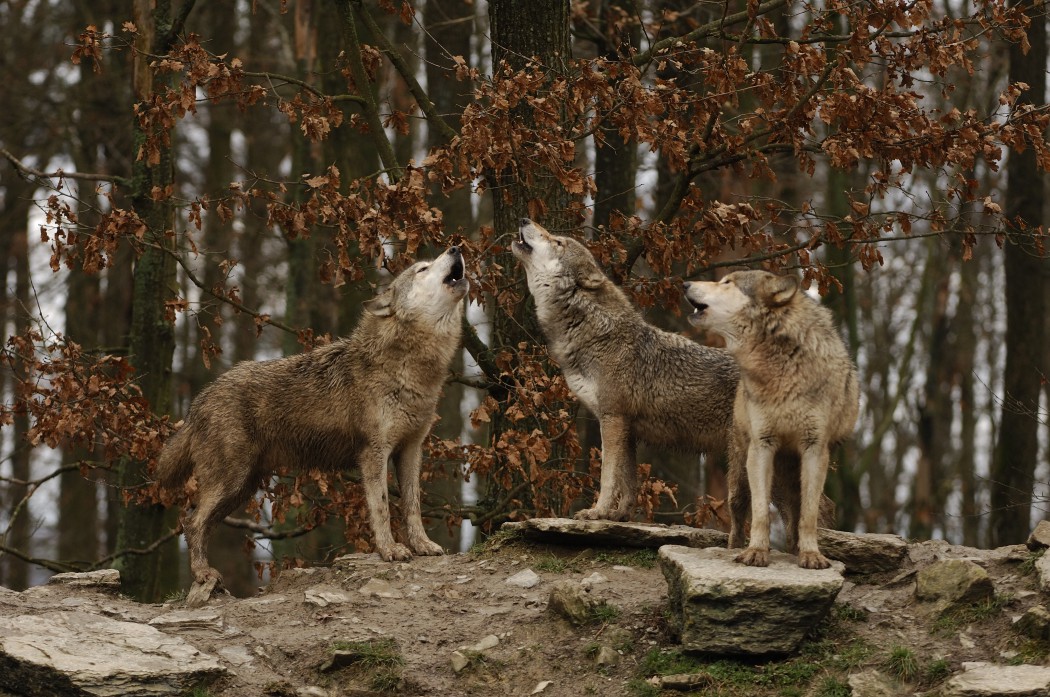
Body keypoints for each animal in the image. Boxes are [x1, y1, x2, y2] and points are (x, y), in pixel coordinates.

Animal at [156, 246, 468, 588]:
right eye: (422, 269)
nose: (455, 247)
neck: (407, 366)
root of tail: (199, 401)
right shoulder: (373, 454)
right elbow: (382, 509)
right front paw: (390, 550)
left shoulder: (411, 450)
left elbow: (412, 505)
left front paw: (423, 545)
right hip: (231, 480)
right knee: (192, 521)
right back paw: (203, 574)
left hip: (242, 487)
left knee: (202, 523)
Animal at [511, 218, 739, 521]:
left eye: (557, 242)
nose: (524, 219)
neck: (595, 331)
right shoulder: (628, 430)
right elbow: (628, 481)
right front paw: (618, 515)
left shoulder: (612, 419)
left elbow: (608, 477)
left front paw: (596, 512)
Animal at [684, 270, 859, 569]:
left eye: (727, 283)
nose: (684, 283)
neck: (781, 367)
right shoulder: (762, 446)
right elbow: (761, 512)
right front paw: (756, 552)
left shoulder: (815, 450)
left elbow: (808, 516)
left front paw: (811, 555)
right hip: (741, 474)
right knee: (739, 516)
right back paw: (736, 548)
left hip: (791, 477)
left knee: (800, 512)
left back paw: (795, 549)